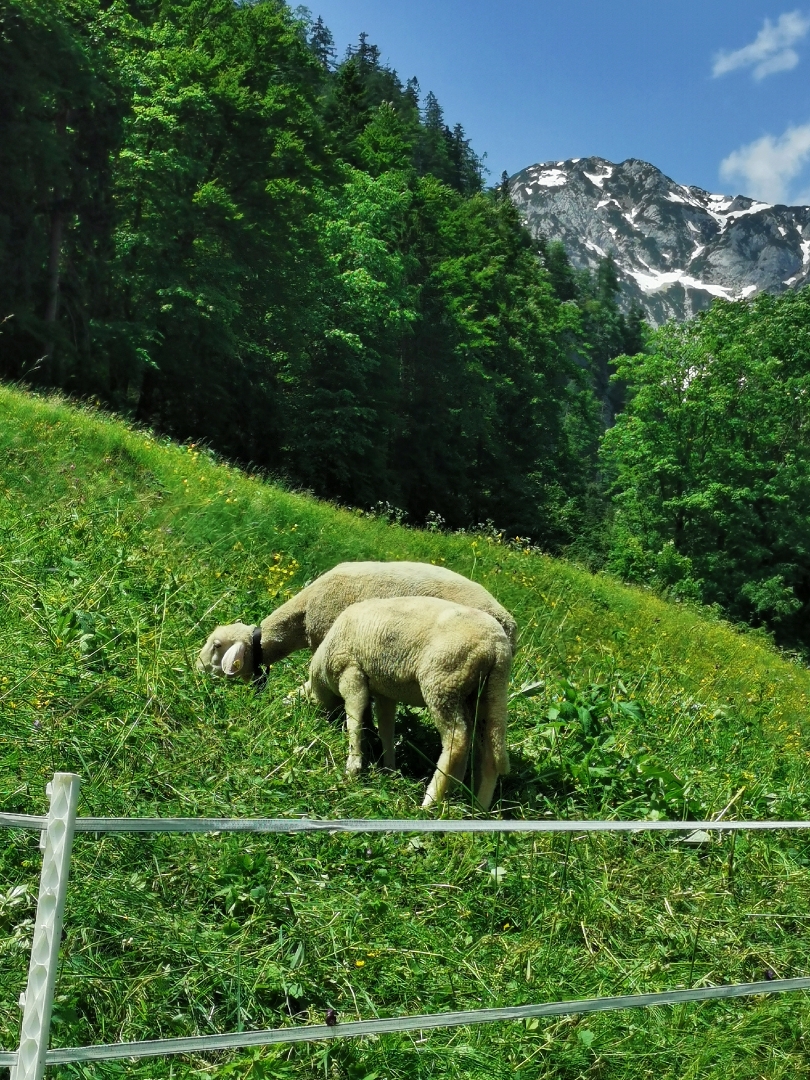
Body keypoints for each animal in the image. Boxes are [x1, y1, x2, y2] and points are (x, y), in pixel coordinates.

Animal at [304, 596, 514, 812]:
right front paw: (389, 768)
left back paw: (430, 801)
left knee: (457, 740)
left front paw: (353, 766)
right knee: (489, 749)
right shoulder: (384, 692)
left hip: (442, 681)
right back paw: (477, 806)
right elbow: (386, 728)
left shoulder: (351, 672)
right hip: (487, 691)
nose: (323, 721)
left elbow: (354, 717)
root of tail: (497, 647)